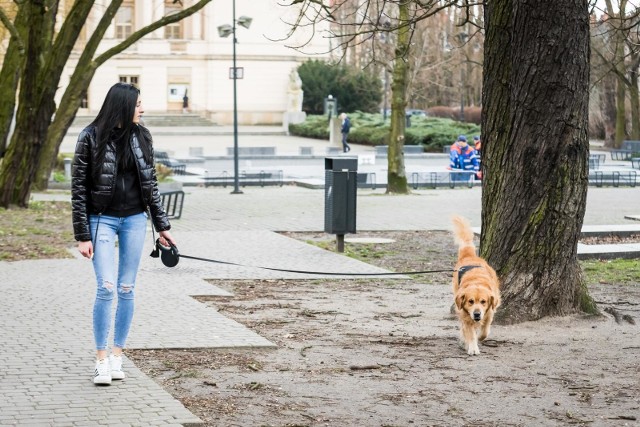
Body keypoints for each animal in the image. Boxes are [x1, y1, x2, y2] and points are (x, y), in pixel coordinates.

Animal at [450, 216, 500, 356]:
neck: (476, 281)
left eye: (483, 301)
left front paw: (480, 337)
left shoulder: (489, 312)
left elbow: (485, 331)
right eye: (470, 301)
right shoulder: (466, 315)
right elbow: (470, 334)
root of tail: (469, 256)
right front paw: (472, 347)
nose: (477, 314)